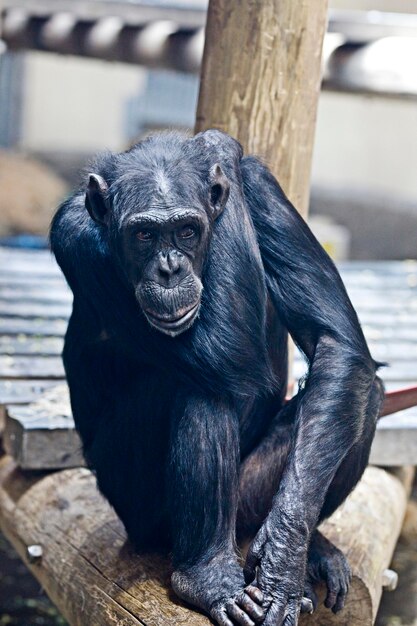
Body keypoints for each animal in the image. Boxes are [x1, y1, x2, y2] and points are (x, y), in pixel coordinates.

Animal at [50, 129, 382, 624]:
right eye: (144, 234)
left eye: (187, 230)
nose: (170, 268)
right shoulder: (73, 238)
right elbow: (227, 352)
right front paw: (216, 147)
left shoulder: (265, 190)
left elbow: (336, 342)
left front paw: (283, 561)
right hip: (138, 506)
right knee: (202, 386)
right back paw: (207, 577)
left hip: (248, 502)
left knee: (365, 391)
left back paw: (313, 551)